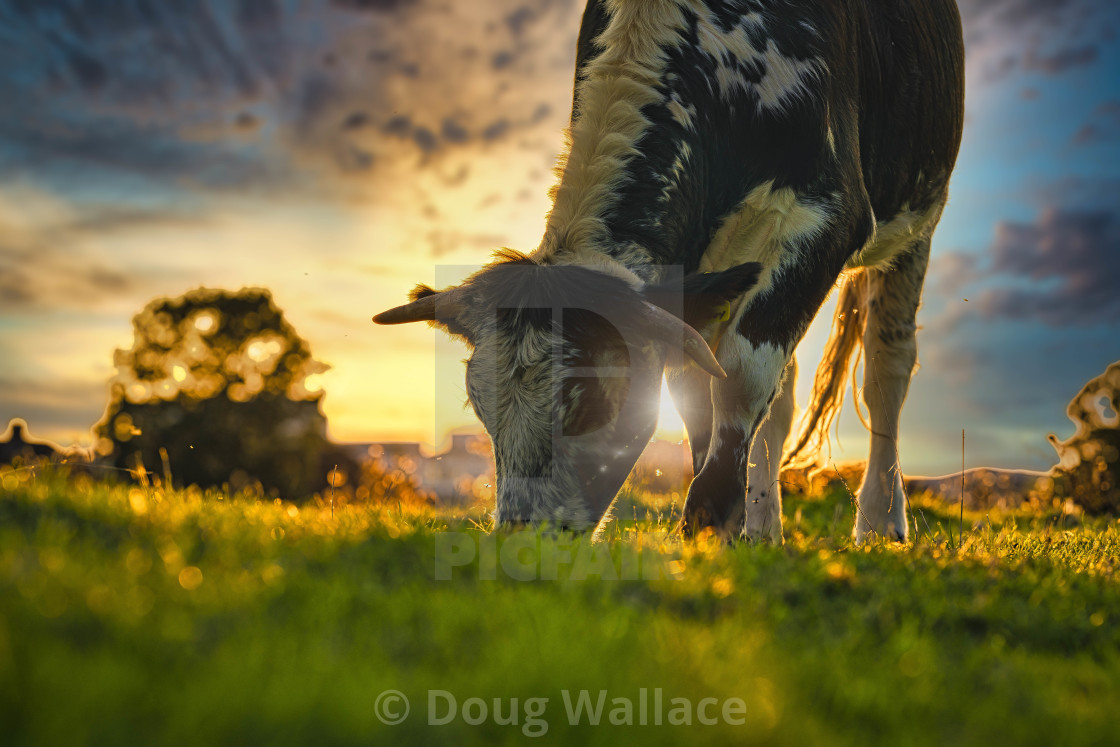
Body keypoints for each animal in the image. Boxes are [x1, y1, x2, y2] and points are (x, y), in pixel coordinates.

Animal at [374, 0, 963, 544]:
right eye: (480, 405)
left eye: (591, 399)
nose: (523, 540)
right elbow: (700, 383)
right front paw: (729, 523)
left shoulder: (828, 219)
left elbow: (742, 375)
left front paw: (709, 518)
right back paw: (764, 527)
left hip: (917, 225)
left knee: (885, 368)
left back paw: (881, 521)